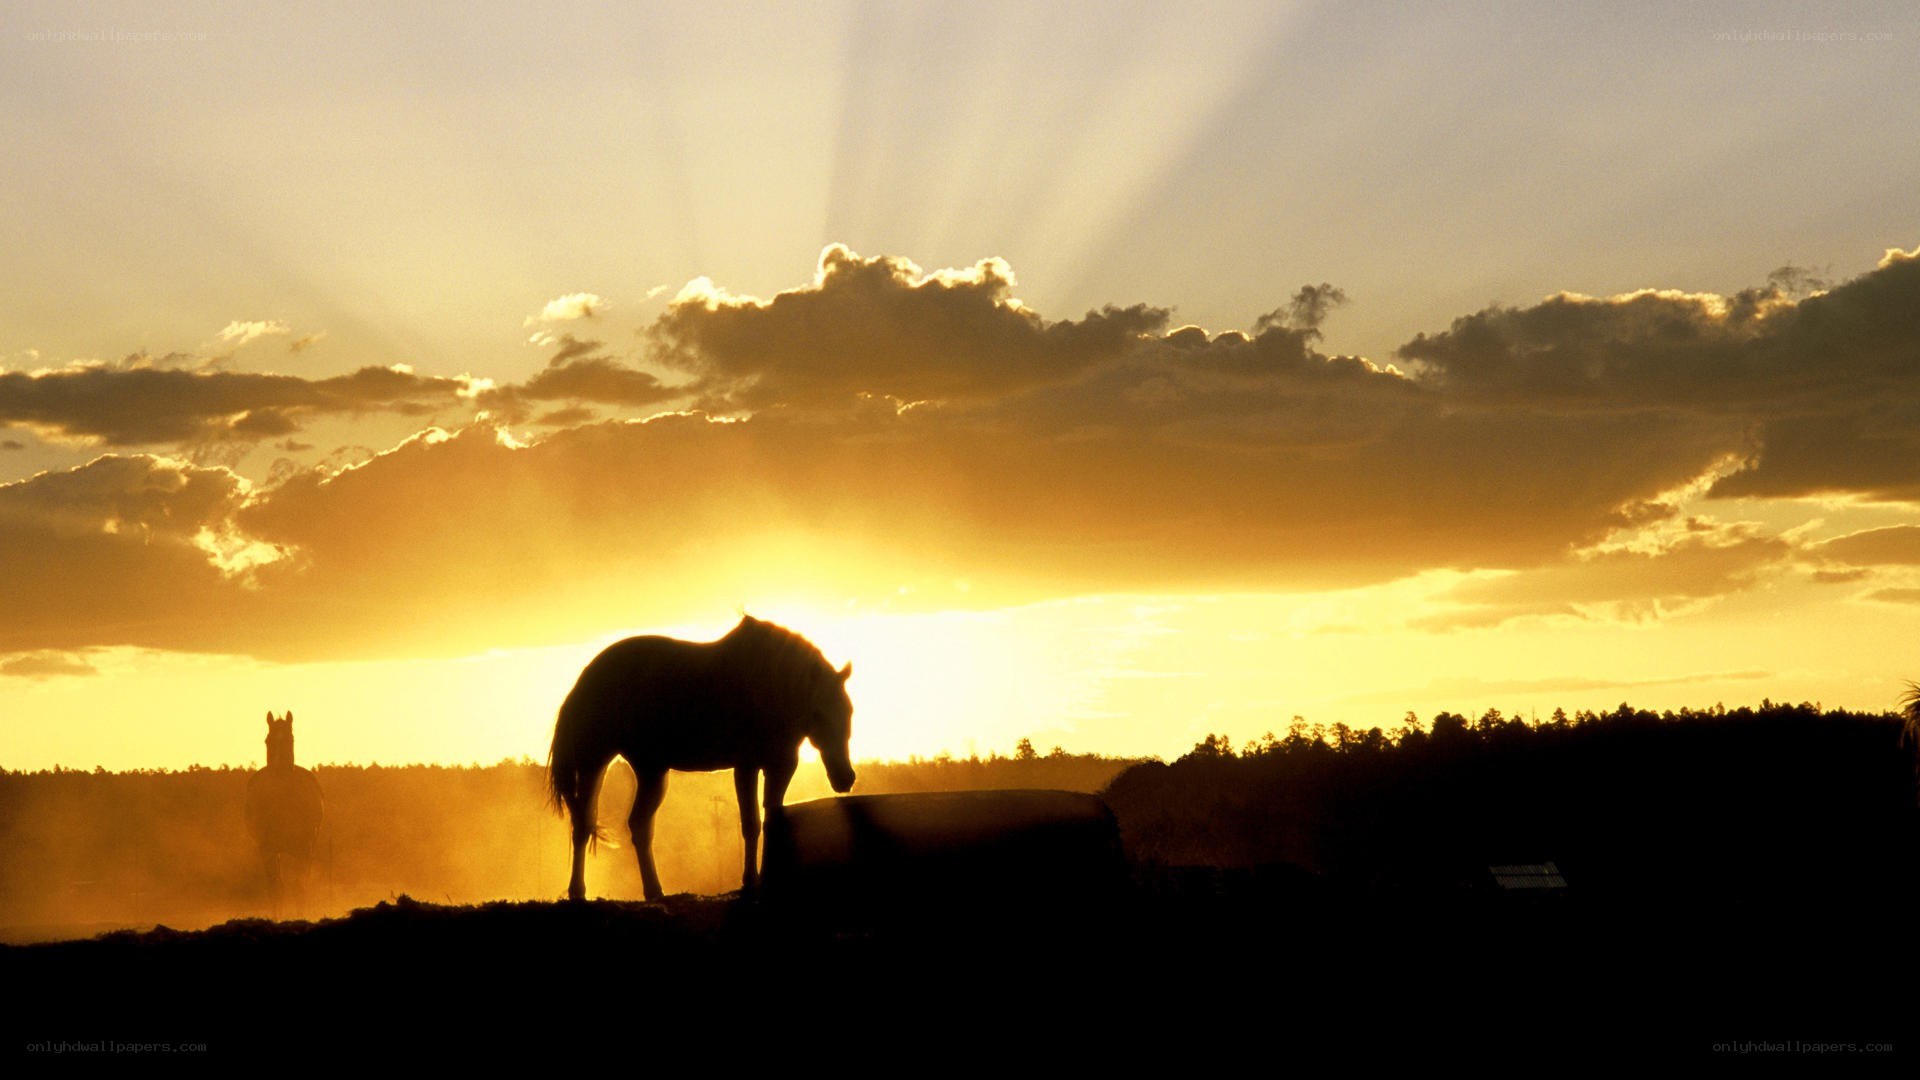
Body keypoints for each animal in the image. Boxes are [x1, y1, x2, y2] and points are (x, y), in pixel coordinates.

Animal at [244, 711, 325, 914]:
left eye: (291, 739)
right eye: (268, 741)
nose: (278, 771)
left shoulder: (304, 849)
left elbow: (299, 888)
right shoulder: (268, 849)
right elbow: (276, 889)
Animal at [548, 616, 856, 902]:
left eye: (849, 711)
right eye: (818, 713)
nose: (845, 778)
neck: (770, 687)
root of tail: (584, 680)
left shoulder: (781, 766)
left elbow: (773, 818)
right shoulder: (746, 767)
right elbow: (751, 824)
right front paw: (749, 882)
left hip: (651, 770)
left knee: (637, 825)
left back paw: (654, 892)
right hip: (594, 762)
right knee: (584, 824)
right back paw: (579, 891)